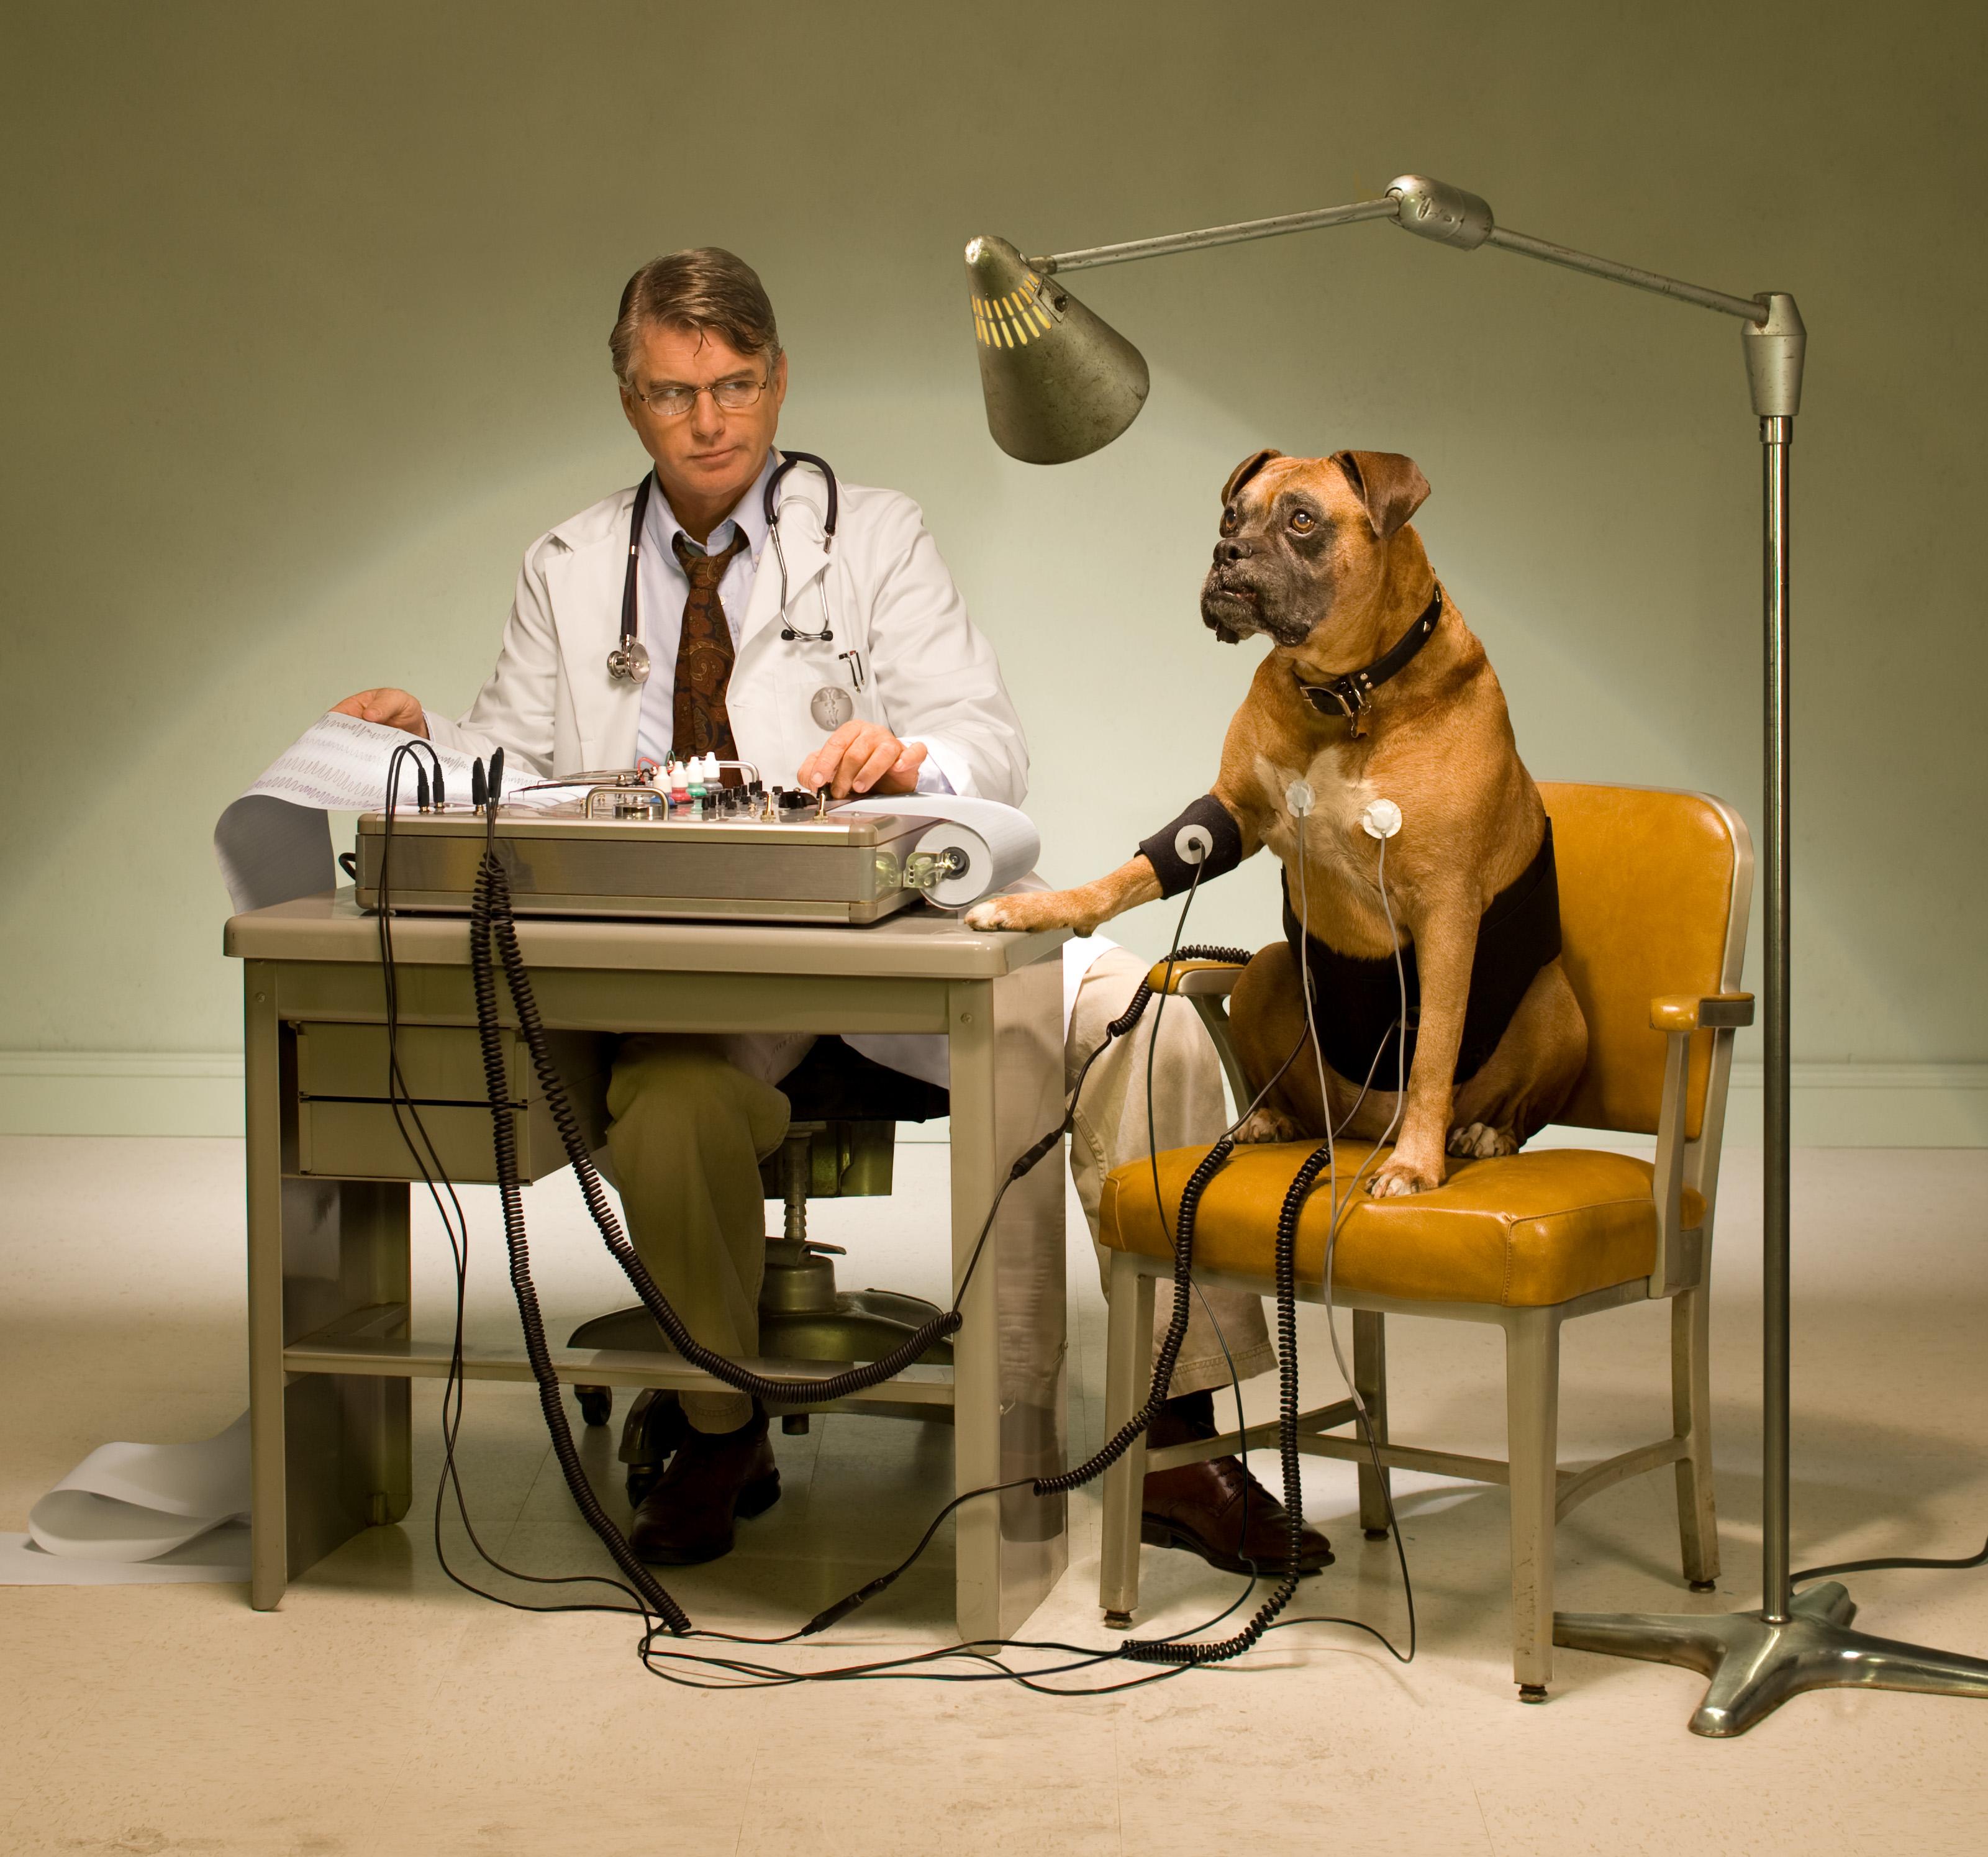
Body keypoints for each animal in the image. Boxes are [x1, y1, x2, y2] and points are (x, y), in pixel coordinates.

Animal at [962, 457, 1582, 1201]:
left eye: (1303, 520)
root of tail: (1361, 1128)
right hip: (1266, 970)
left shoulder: (1448, 907)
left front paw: (1415, 1164)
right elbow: (1135, 872)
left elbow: (1434, 1045)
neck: (1345, 693)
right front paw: (1039, 907)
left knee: (1511, 1108)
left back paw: (1479, 1134)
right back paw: (1270, 1119)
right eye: (1232, 515)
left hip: (1555, 1004)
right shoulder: (1230, 814)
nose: (1225, 552)